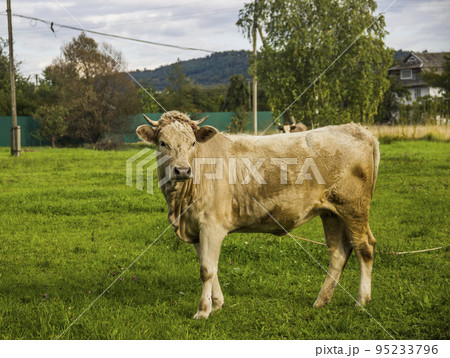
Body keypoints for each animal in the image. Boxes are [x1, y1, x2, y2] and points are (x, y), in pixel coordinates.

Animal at [136, 110, 380, 318]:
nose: (183, 170)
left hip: (353, 208)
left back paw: (362, 301)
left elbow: (206, 270)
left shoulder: (211, 226)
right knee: (338, 252)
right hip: (331, 213)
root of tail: (359, 129)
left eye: (193, 142)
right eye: (163, 143)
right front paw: (217, 303)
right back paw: (322, 300)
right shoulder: (196, 228)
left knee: (364, 247)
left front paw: (203, 311)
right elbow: (211, 267)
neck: (180, 204)